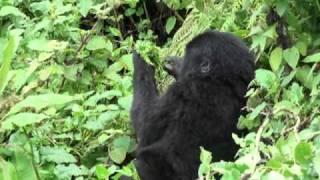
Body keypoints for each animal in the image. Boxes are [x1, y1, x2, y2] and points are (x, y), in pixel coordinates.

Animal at [131, 30, 255, 179]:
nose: (180, 60)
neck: (222, 81)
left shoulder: (180, 91)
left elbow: (144, 126)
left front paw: (142, 58)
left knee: (142, 163)